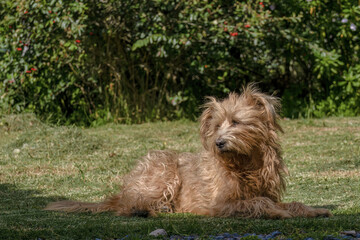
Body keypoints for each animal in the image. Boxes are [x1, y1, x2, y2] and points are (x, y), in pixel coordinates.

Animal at [45, 85, 332, 218]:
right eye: (216, 125)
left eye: (236, 122)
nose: (219, 143)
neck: (246, 163)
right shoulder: (222, 204)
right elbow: (257, 202)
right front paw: (277, 212)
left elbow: (286, 202)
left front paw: (313, 210)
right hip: (163, 169)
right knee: (128, 206)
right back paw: (145, 209)